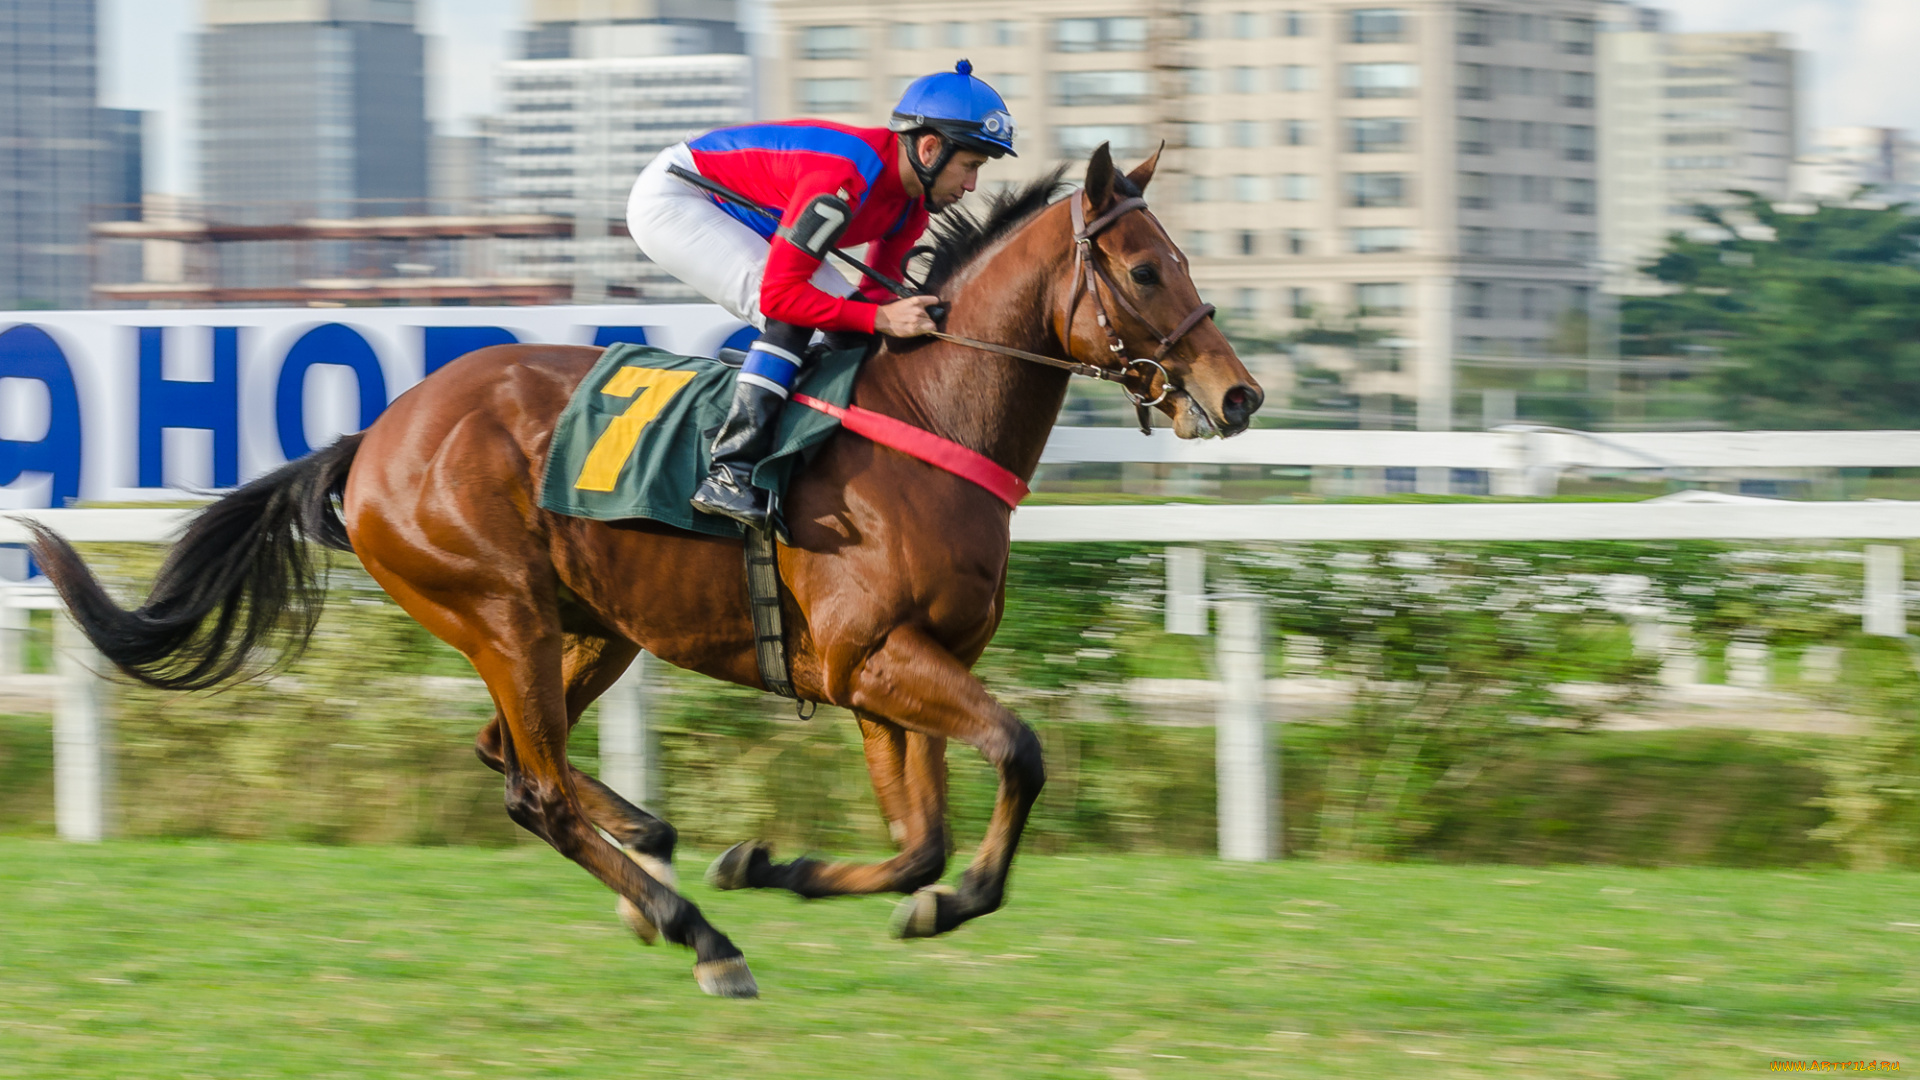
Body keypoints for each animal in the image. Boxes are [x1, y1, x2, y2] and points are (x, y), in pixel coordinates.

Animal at [27, 144, 1262, 998]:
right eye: (1145, 268)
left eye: (1185, 259)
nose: (1239, 394)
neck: (926, 414)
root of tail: (372, 438)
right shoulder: (873, 659)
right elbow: (1018, 751)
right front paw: (859, 892)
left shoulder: (885, 678)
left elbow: (921, 844)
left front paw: (784, 867)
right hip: (503, 613)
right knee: (529, 786)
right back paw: (697, 935)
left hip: (592, 628)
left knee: (510, 755)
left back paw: (656, 860)